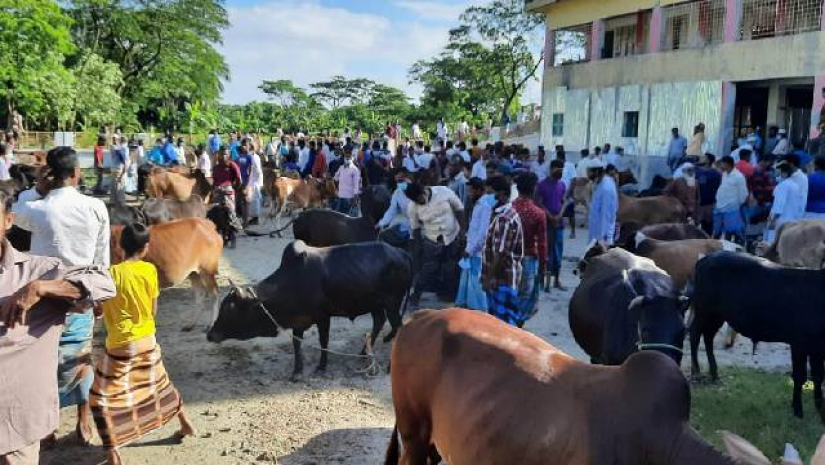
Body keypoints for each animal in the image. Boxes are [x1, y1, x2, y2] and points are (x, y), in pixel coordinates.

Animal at [206, 239, 412, 376]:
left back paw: (390, 366)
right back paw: (363, 353)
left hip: (392, 304)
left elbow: (323, 341)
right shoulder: (299, 321)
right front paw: (297, 370)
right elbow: (296, 343)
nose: (210, 334)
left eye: (230, 310)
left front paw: (321, 366)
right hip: (375, 304)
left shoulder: (323, 317)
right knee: (379, 322)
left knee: (398, 328)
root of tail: (400, 252)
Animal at [692, 252, 825, 418]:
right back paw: (696, 372)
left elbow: (818, 375)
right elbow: (800, 376)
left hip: (717, 315)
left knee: (708, 336)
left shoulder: (817, 347)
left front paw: (820, 408)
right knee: (694, 334)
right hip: (704, 311)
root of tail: (708, 257)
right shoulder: (799, 342)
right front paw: (798, 411)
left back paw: (714, 374)